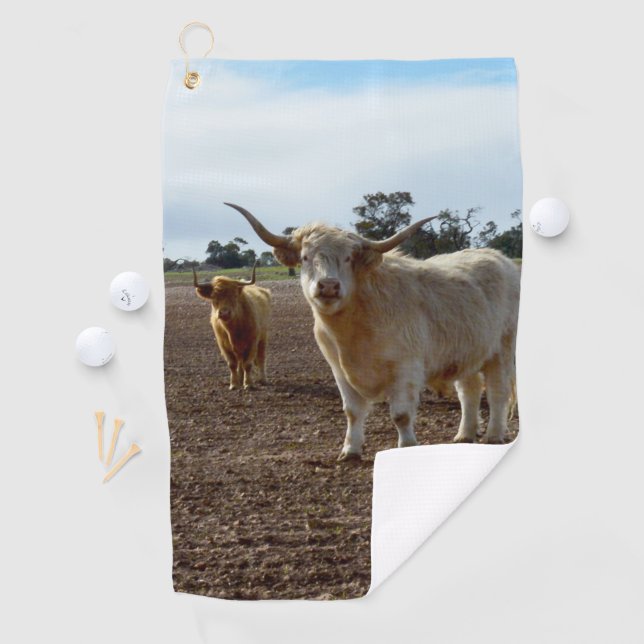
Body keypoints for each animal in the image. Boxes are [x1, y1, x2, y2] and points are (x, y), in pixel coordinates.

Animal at [193, 262, 271, 390]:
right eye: (214, 296)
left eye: (234, 295)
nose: (224, 312)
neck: (234, 330)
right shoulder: (223, 345)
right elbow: (232, 364)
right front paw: (234, 384)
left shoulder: (253, 342)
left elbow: (248, 364)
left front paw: (248, 384)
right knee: (240, 361)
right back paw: (240, 379)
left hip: (263, 338)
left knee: (260, 358)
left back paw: (263, 379)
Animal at [224, 203, 520, 460]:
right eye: (306, 258)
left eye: (348, 258)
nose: (328, 286)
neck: (355, 326)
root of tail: (500, 259)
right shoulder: (339, 370)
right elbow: (352, 411)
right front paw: (350, 451)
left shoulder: (406, 368)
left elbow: (400, 414)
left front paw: (406, 447)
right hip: (468, 352)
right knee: (469, 390)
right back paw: (464, 435)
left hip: (502, 350)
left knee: (497, 391)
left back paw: (493, 435)